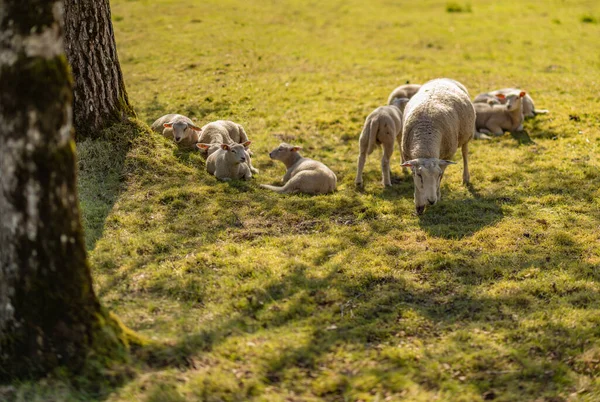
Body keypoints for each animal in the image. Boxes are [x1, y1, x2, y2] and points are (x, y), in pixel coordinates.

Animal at [400, 77, 476, 215]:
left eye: (438, 174)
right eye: (420, 175)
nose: (431, 201)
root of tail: (443, 78)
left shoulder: (446, 156)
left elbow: (441, 178)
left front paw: (438, 195)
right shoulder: (409, 157)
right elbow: (416, 185)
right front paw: (419, 205)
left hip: (467, 136)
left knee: (465, 154)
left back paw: (466, 178)